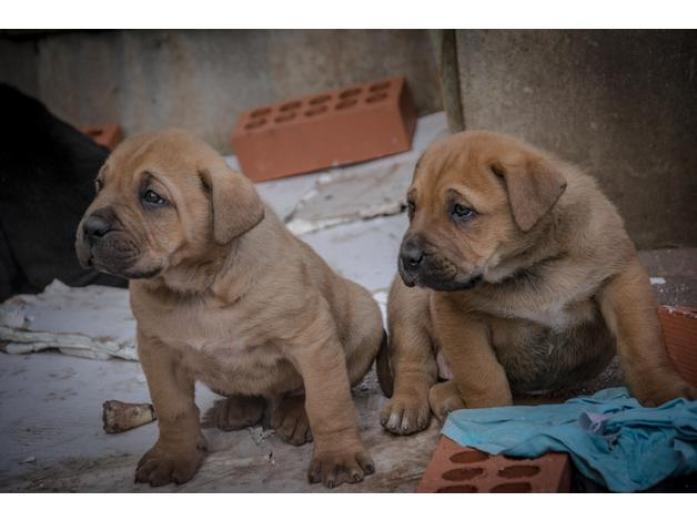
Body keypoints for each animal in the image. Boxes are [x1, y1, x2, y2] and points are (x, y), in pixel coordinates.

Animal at [73, 128, 384, 486]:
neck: (198, 286)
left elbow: (327, 401)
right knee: (246, 392)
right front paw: (172, 455)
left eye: (152, 197)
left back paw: (295, 415)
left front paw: (337, 456)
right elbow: (172, 409)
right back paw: (236, 408)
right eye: (99, 185)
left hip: (365, 319)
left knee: (305, 390)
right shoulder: (157, 350)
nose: (90, 228)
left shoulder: (310, 338)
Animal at [380, 131, 696, 434]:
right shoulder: (456, 312)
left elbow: (643, 343)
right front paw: (485, 419)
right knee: (415, 364)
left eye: (461, 210)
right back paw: (409, 406)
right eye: (412, 207)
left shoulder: (620, 277)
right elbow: (482, 375)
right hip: (409, 304)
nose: (408, 257)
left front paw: (665, 395)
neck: (529, 265)